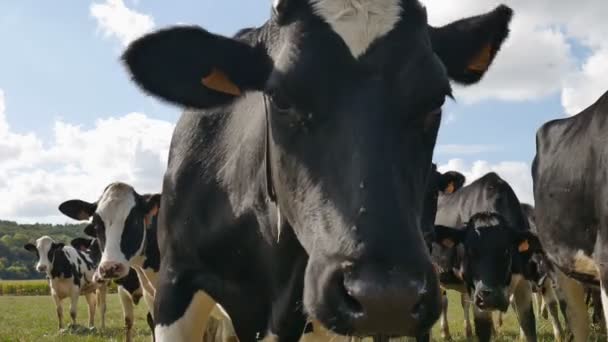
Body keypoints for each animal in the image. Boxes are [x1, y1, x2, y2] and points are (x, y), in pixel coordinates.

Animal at [430, 174, 540, 342]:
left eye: (506, 250)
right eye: (468, 251)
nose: (489, 296)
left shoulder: (523, 282)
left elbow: (528, 324)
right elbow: (483, 328)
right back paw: (444, 332)